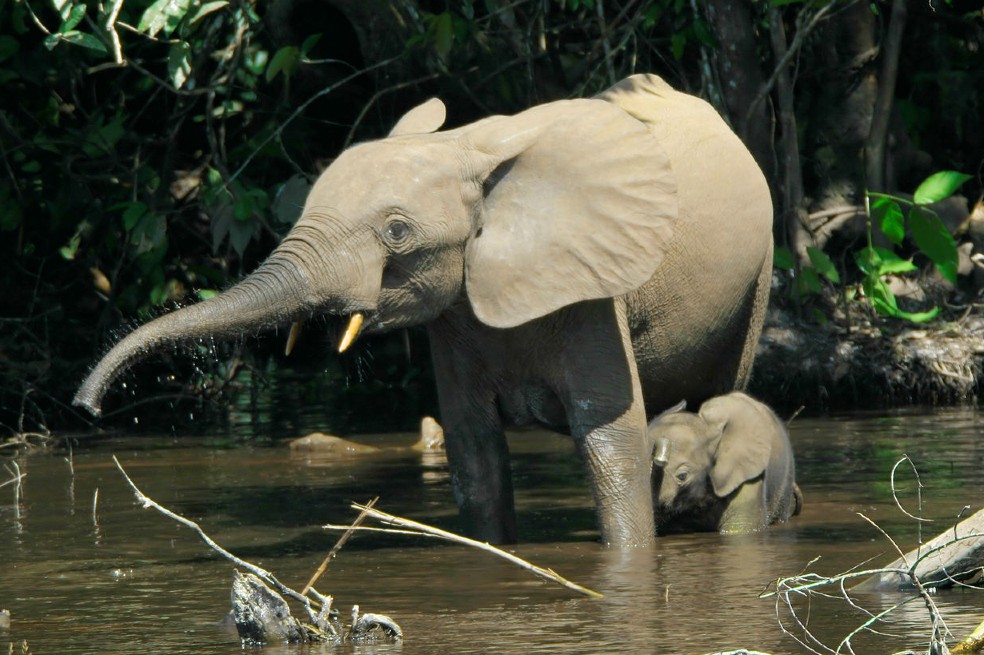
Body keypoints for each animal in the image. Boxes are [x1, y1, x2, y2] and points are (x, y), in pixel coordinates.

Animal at [73, 74, 773, 548]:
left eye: (397, 232)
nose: (86, 408)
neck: (467, 149)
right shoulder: (456, 315)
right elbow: (474, 454)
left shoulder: (593, 291)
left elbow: (610, 443)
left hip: (758, 275)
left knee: (720, 393)